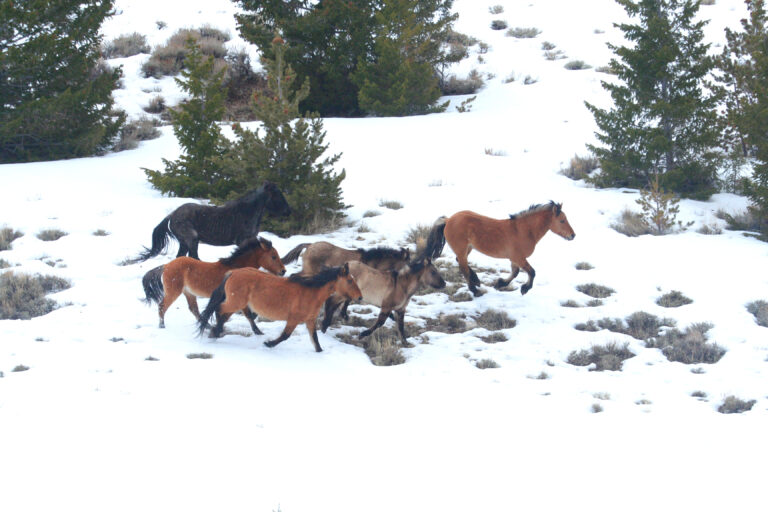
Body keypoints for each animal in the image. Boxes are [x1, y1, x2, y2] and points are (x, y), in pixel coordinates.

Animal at [132, 181, 291, 262]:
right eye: (276, 194)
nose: (288, 211)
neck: (247, 212)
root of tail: (171, 216)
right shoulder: (242, 241)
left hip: (185, 242)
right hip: (191, 239)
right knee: (193, 257)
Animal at [141, 237, 285, 329]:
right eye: (273, 256)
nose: (283, 271)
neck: (235, 267)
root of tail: (166, 266)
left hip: (188, 292)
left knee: (193, 309)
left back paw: (207, 326)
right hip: (174, 291)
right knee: (162, 306)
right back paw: (162, 325)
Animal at [197, 263, 362, 352]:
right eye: (349, 280)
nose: (360, 297)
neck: (311, 292)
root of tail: (233, 272)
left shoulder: (310, 321)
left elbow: (315, 339)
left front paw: (320, 353)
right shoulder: (293, 319)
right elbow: (285, 336)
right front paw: (268, 344)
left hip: (237, 303)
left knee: (224, 314)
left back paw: (216, 331)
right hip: (235, 302)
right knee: (218, 309)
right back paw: (215, 332)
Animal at [423, 202, 575, 297]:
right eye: (562, 220)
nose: (573, 235)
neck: (523, 230)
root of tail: (448, 220)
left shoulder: (515, 259)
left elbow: (515, 273)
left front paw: (499, 284)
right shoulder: (518, 257)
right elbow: (532, 272)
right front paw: (524, 289)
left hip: (467, 248)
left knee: (460, 262)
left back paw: (476, 280)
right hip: (462, 248)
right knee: (463, 267)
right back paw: (475, 290)